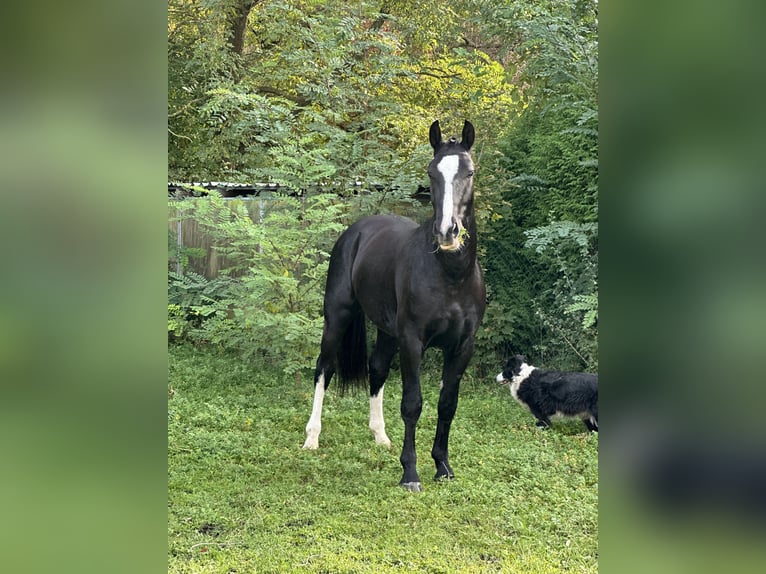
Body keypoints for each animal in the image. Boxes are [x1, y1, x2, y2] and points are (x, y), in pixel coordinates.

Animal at [302, 119, 486, 492]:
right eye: (431, 172)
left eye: (470, 172)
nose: (447, 232)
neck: (451, 277)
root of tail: (357, 231)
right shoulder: (412, 342)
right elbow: (412, 404)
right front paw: (410, 474)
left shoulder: (462, 346)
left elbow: (447, 404)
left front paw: (443, 466)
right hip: (337, 318)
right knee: (324, 368)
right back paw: (312, 438)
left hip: (387, 331)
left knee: (377, 368)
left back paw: (380, 436)